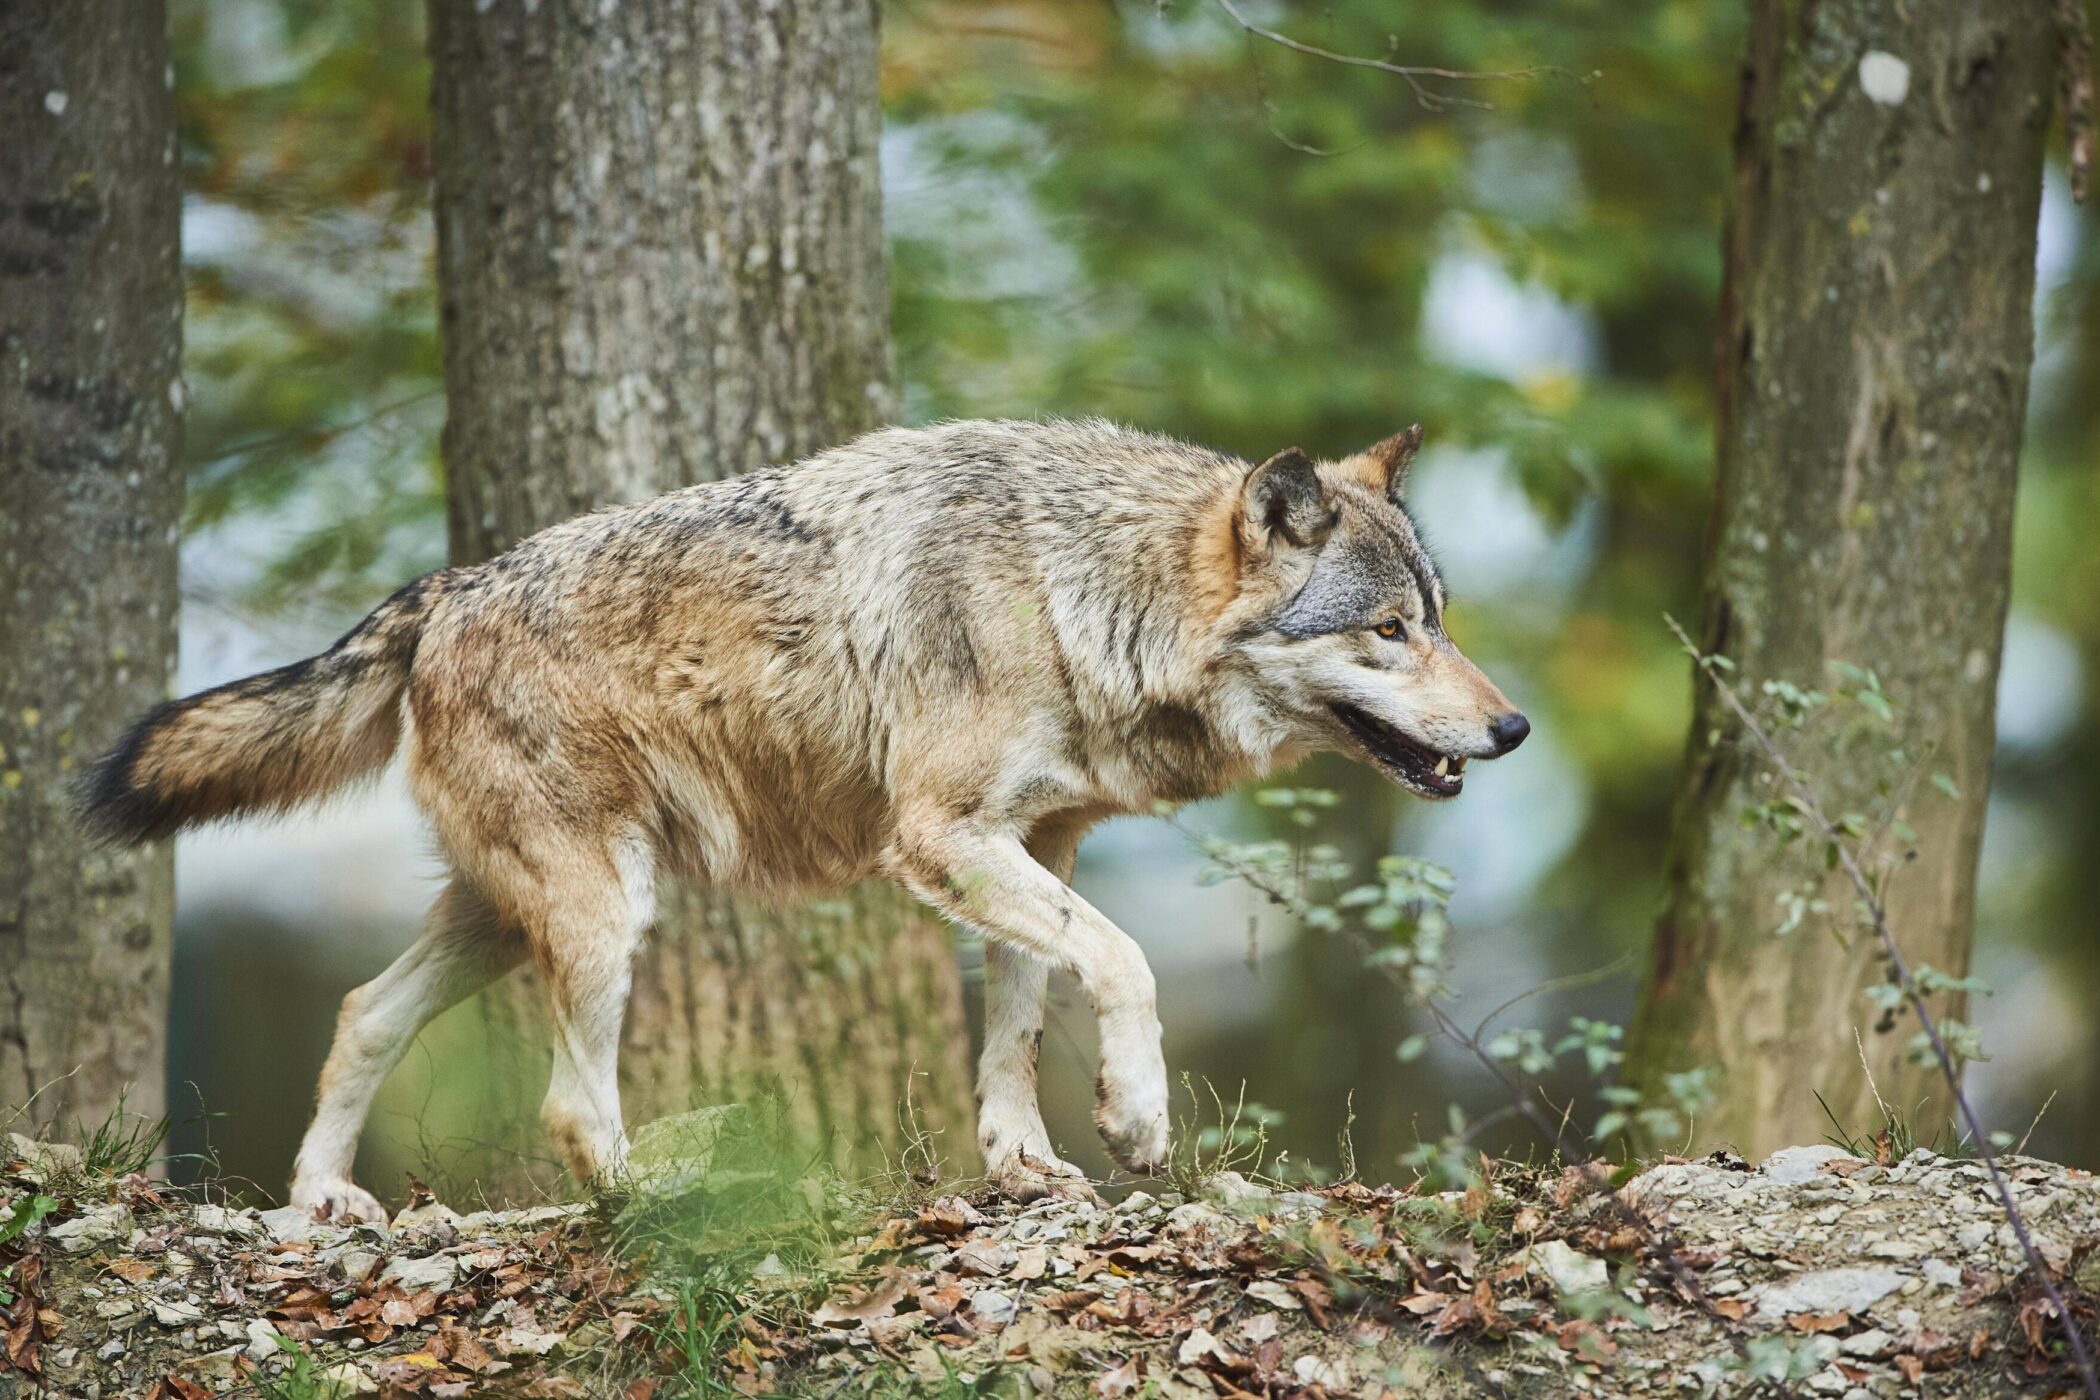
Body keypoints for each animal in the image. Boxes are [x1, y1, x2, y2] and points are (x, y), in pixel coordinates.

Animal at [78, 418, 1526, 1220]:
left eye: (1441, 619)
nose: (1513, 730)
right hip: (604, 913)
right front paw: (1135, 1123)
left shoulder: (1034, 845)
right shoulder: (943, 840)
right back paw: (641, 1199)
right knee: (565, 1107)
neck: (1070, 597)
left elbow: (1016, 1023)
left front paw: (1026, 1165)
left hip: (502, 916)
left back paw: (323, 1198)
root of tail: (439, 590)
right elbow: (1124, 960)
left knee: (360, 1013)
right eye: (1388, 632)